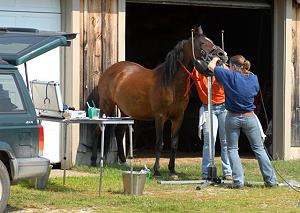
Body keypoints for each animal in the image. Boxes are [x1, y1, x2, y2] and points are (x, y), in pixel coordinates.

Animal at [98, 25, 227, 177]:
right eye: (202, 43)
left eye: (210, 41)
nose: (222, 55)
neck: (170, 83)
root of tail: (111, 70)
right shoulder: (160, 117)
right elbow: (159, 143)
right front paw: (157, 170)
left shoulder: (178, 117)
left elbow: (174, 142)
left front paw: (172, 170)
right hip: (106, 106)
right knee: (99, 129)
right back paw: (95, 161)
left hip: (126, 111)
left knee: (119, 131)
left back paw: (124, 162)